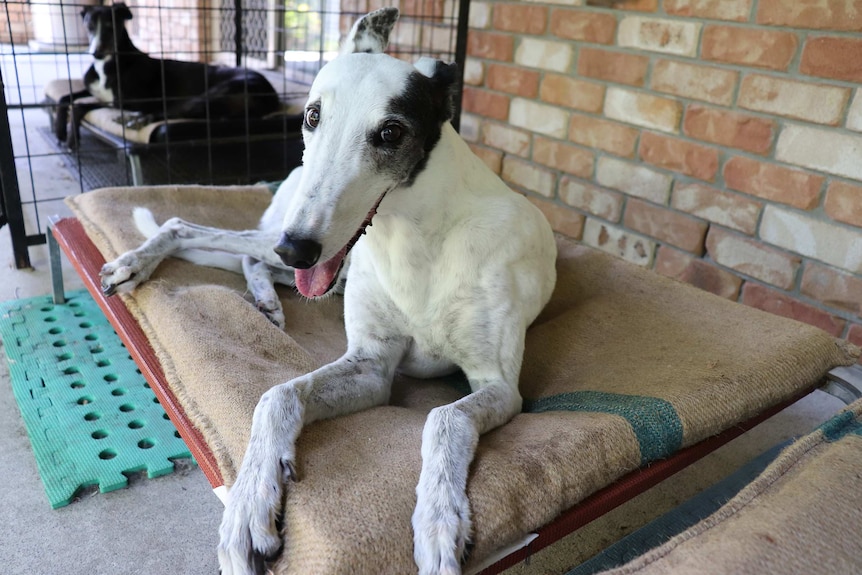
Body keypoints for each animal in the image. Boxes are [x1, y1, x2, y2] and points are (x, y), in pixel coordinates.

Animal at [54, 1, 276, 148]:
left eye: (111, 27)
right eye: (89, 26)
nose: (96, 53)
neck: (109, 65)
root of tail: (272, 95)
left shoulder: (126, 101)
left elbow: (79, 106)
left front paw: (71, 138)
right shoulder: (94, 91)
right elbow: (65, 98)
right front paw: (59, 129)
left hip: (211, 94)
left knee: (173, 112)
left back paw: (140, 119)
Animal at [98, 5, 556, 575]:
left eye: (390, 131)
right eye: (313, 115)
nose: (298, 247)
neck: (417, 238)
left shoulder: (496, 385)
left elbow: (444, 417)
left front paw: (439, 524)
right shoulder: (370, 359)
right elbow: (277, 394)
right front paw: (248, 506)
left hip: (324, 265)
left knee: (250, 257)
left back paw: (265, 299)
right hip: (303, 249)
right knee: (193, 228)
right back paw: (136, 266)